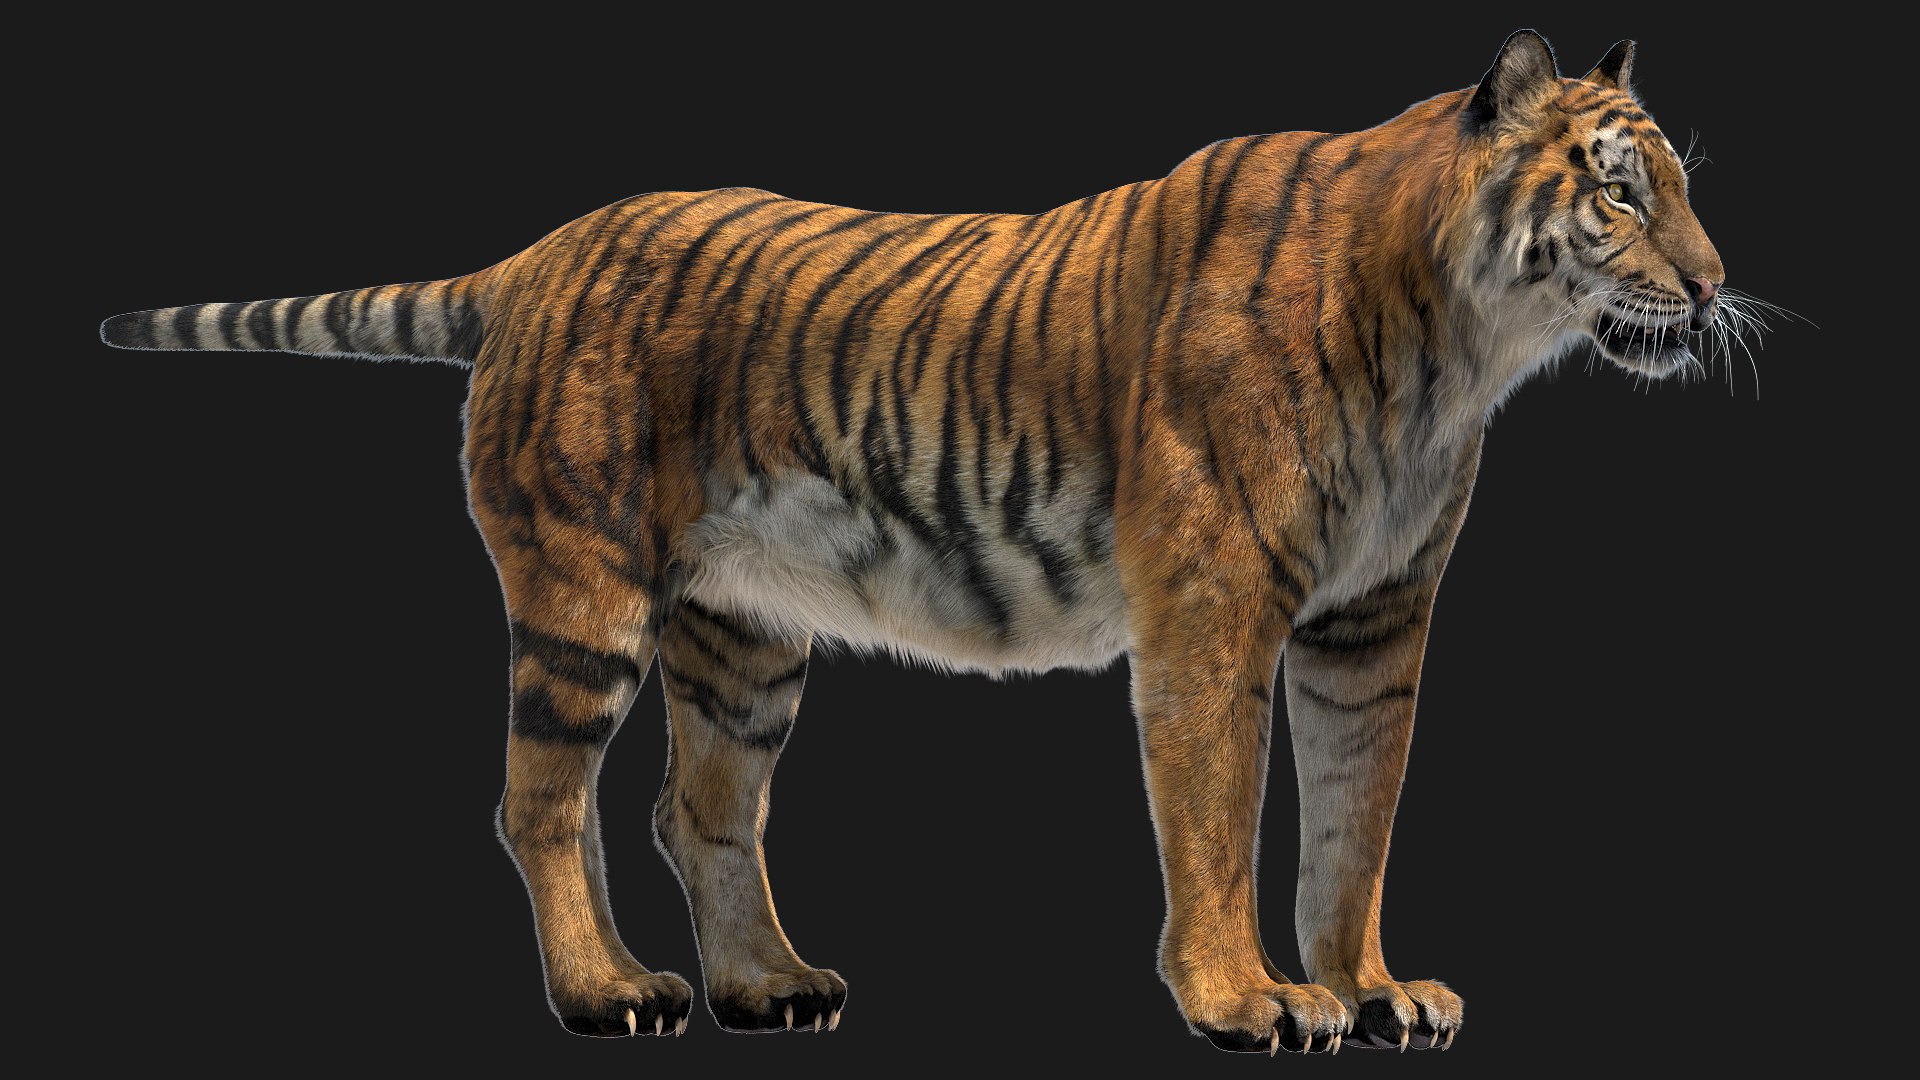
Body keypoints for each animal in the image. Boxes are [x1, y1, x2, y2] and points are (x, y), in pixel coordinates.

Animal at [99, 29, 1728, 1054]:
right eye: (1617, 184)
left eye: (1681, 185)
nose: (1716, 286)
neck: (1460, 350)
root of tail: (537, 254)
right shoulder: (1215, 612)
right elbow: (1218, 817)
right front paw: (1246, 1001)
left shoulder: (1371, 628)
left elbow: (1354, 827)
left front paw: (1373, 990)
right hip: (582, 597)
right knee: (539, 802)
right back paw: (607, 992)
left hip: (744, 641)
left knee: (698, 808)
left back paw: (768, 987)